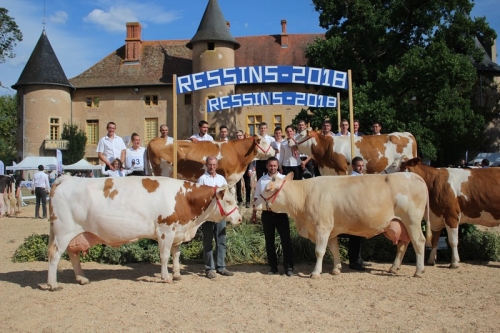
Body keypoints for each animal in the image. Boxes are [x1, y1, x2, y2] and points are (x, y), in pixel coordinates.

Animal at [47, 175, 242, 290]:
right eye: (229, 201)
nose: (240, 219)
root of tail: (66, 178)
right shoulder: (165, 230)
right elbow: (164, 255)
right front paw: (166, 277)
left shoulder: (177, 232)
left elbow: (176, 254)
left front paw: (177, 274)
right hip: (63, 231)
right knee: (54, 255)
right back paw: (53, 284)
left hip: (76, 233)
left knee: (73, 254)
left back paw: (82, 278)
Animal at [254, 171, 430, 278]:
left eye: (268, 189)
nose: (254, 201)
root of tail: (413, 175)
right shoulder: (330, 229)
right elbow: (334, 249)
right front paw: (336, 269)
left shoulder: (322, 227)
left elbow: (320, 251)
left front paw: (315, 273)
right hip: (400, 223)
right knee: (403, 244)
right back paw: (394, 268)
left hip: (412, 220)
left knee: (419, 242)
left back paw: (418, 271)